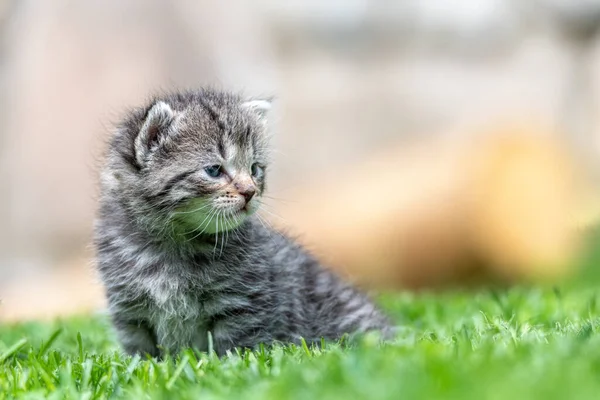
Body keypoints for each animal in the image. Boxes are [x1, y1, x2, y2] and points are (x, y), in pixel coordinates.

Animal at [94, 88, 394, 356]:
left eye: (255, 169)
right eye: (214, 170)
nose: (250, 191)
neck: (173, 242)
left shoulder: (242, 304)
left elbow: (236, 349)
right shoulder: (130, 312)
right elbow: (142, 354)